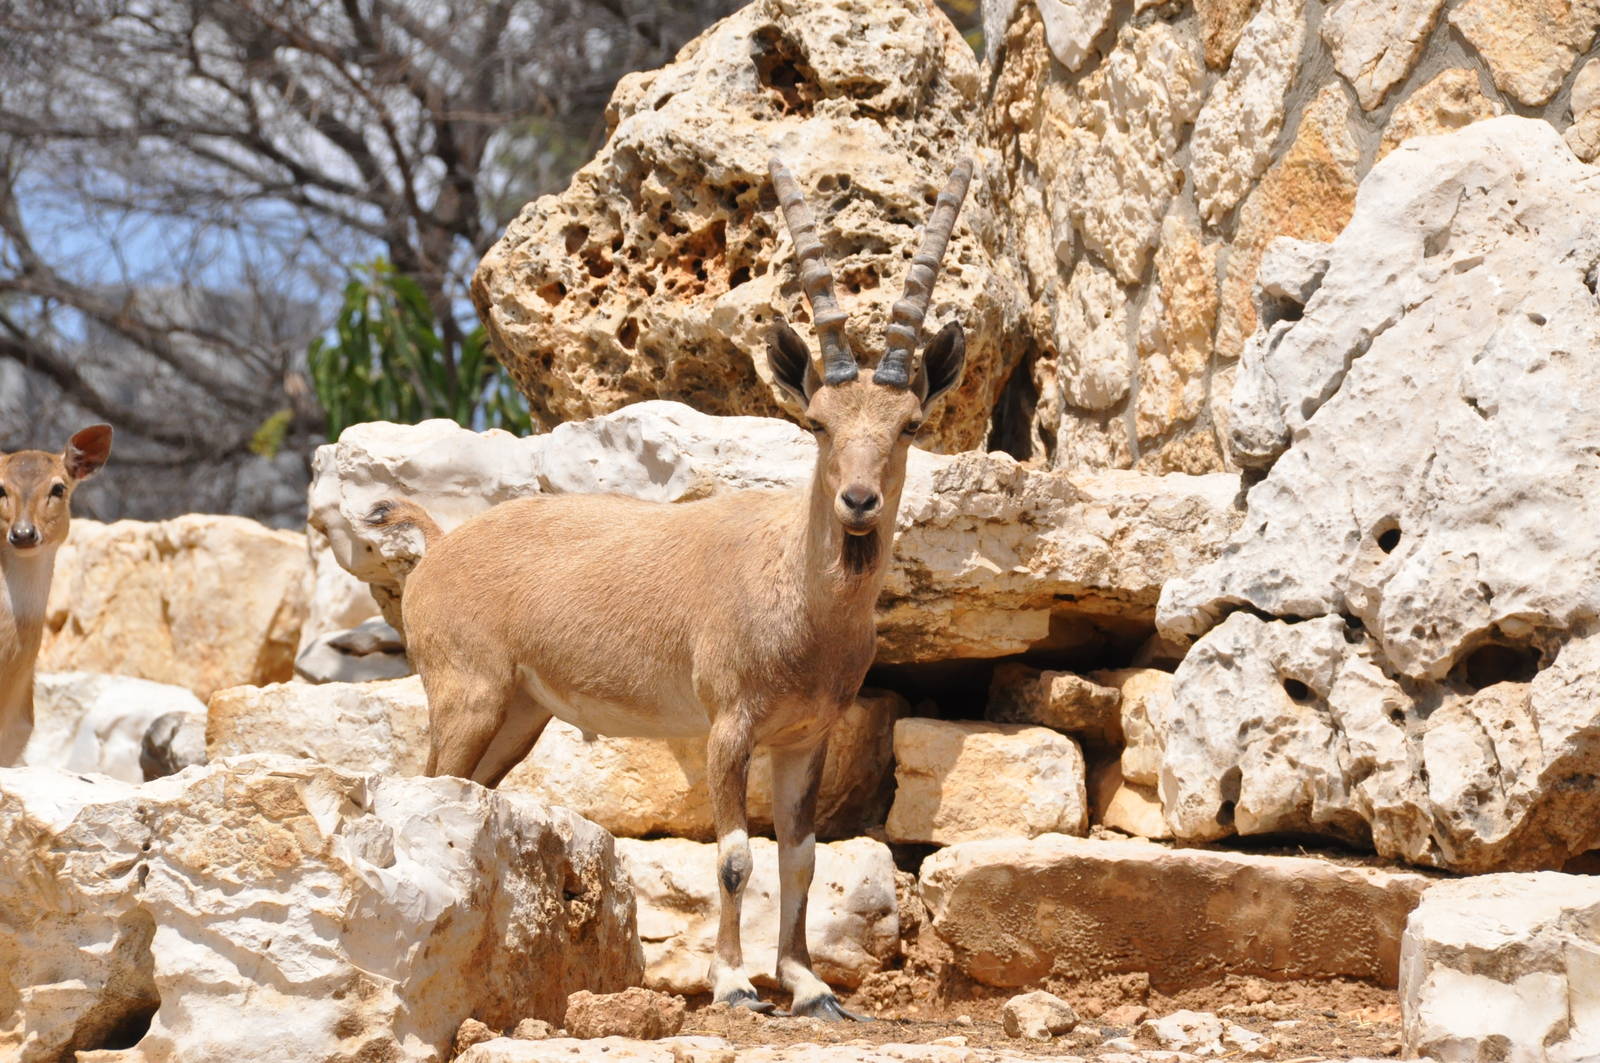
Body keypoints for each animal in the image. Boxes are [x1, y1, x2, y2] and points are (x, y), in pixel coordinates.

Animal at [366, 157, 972, 1019]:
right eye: (818, 422)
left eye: (910, 424)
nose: (858, 501)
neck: (799, 597)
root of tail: (440, 546)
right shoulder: (728, 725)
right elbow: (733, 857)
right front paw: (735, 984)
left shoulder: (806, 737)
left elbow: (800, 857)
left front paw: (809, 985)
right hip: (466, 691)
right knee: (427, 781)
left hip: (518, 714)